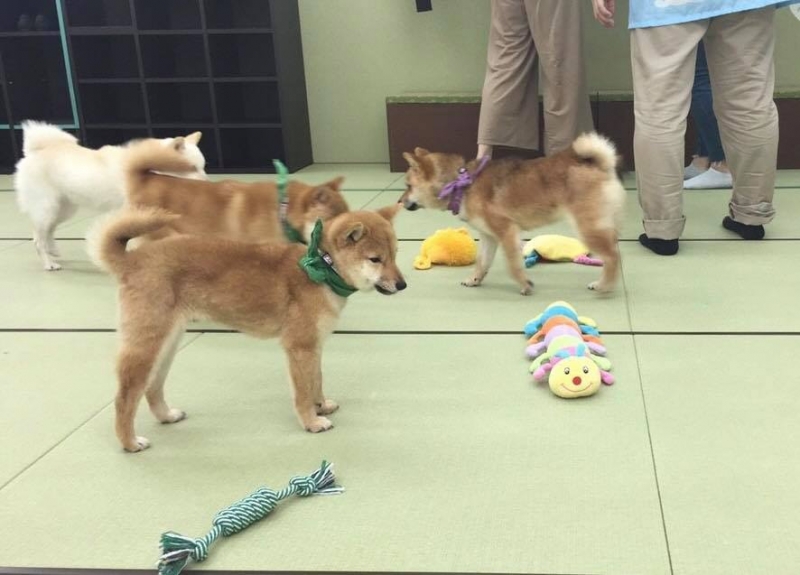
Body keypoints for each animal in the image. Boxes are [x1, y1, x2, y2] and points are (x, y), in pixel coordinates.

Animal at [14, 121, 207, 271]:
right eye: (191, 167)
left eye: (203, 166)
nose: (206, 182)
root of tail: (35, 151)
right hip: (47, 208)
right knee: (38, 239)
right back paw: (49, 263)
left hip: (64, 209)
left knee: (50, 231)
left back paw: (53, 251)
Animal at [86, 205, 406, 452]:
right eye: (375, 259)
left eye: (395, 254)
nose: (402, 284)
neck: (322, 269)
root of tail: (133, 259)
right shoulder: (299, 346)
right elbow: (302, 393)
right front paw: (312, 421)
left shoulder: (313, 346)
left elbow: (316, 381)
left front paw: (321, 405)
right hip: (146, 344)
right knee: (125, 396)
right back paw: (129, 442)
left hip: (167, 344)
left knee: (152, 387)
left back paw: (166, 415)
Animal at [401, 132, 625, 295]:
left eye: (408, 186)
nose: (400, 201)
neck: (463, 185)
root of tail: (600, 165)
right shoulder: (489, 236)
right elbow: (483, 262)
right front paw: (474, 279)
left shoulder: (506, 231)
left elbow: (512, 264)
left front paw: (525, 284)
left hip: (588, 228)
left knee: (613, 256)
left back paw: (604, 285)